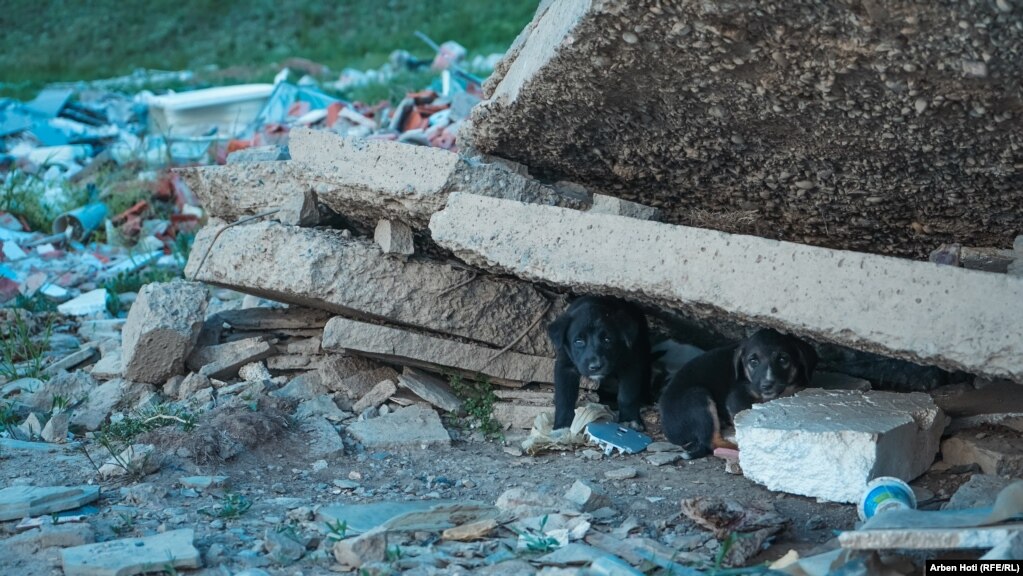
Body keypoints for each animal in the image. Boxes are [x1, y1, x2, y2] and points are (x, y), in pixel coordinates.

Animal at [548, 300, 650, 429]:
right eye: (578, 341)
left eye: (607, 339)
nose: (595, 366)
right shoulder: (565, 365)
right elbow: (564, 396)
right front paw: (563, 424)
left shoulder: (630, 364)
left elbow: (627, 396)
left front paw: (630, 420)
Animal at [658, 329, 818, 460]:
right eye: (753, 361)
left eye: (783, 359)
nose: (767, 385)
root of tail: (669, 430)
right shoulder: (737, 397)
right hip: (697, 397)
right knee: (712, 442)